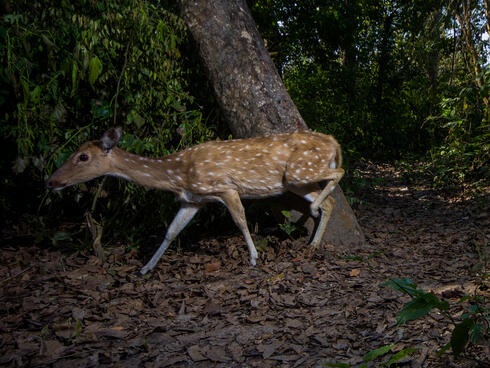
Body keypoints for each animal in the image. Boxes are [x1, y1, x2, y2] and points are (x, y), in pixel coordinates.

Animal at [46, 128, 344, 274]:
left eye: (83, 156)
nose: (50, 181)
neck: (178, 174)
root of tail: (334, 142)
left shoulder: (224, 187)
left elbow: (240, 221)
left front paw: (253, 258)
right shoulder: (193, 200)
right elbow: (171, 231)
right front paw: (145, 268)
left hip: (299, 171)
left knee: (338, 173)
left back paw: (313, 213)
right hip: (296, 180)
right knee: (329, 200)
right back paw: (313, 243)